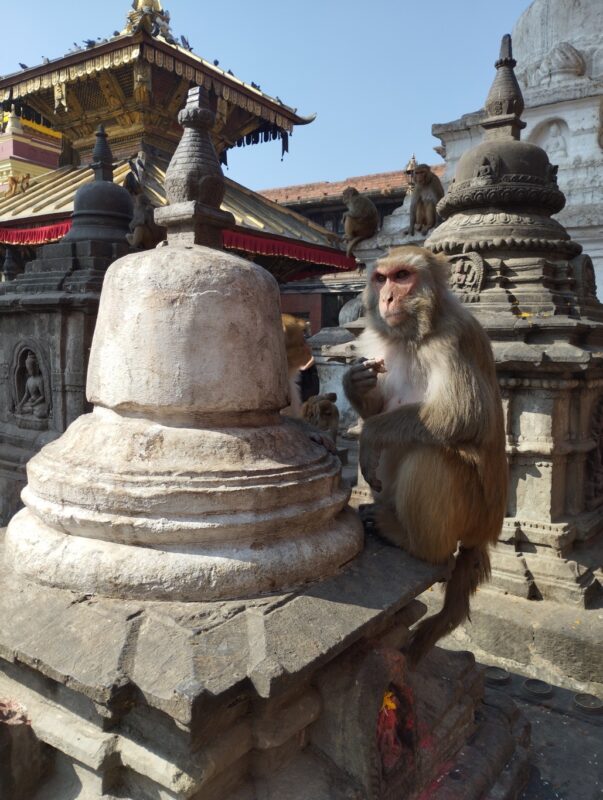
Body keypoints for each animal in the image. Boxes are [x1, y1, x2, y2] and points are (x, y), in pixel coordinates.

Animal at [342, 247, 508, 664]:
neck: (412, 336)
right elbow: (377, 404)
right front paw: (354, 384)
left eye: (403, 276)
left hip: (471, 511)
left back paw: (414, 543)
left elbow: (461, 415)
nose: (387, 298)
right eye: (381, 278)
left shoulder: (450, 340)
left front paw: (369, 434)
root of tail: (486, 531)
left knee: (430, 456)